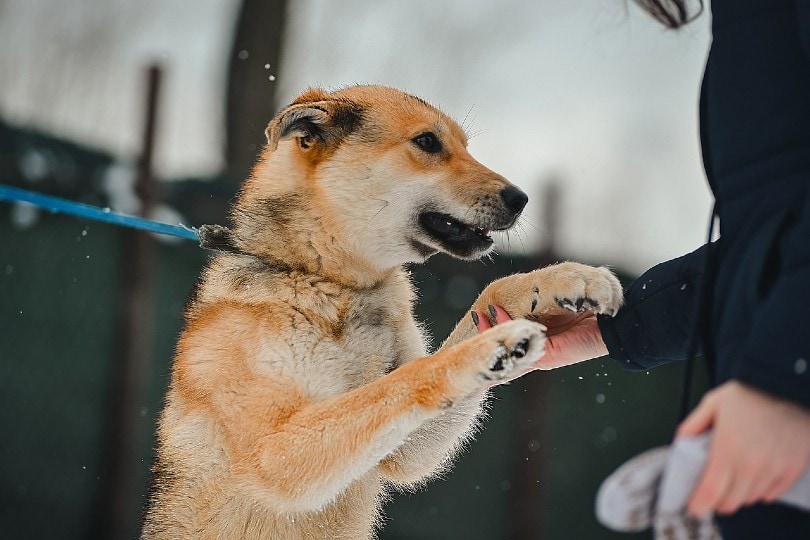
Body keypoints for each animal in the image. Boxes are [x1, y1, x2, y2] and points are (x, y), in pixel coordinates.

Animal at [140, 86, 620, 536]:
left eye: (466, 146)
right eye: (427, 142)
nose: (521, 198)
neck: (332, 283)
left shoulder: (404, 446)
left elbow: (491, 289)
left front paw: (565, 281)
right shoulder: (274, 453)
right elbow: (400, 380)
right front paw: (488, 347)